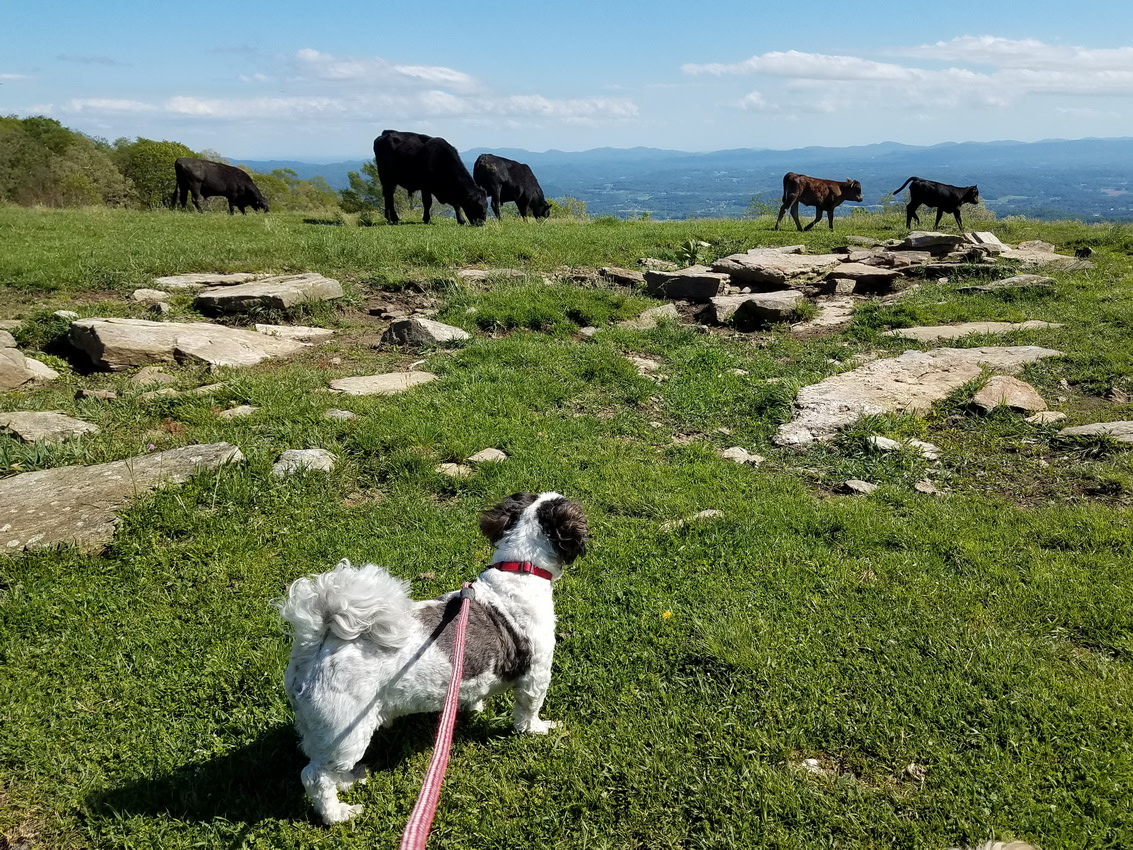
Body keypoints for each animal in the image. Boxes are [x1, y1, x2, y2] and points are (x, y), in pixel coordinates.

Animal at [277, 491, 589, 825]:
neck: (519, 569)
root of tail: (318, 640)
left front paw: (474, 706)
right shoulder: (536, 673)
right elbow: (529, 709)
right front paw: (538, 729)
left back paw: (350, 779)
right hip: (344, 730)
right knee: (316, 776)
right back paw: (337, 814)